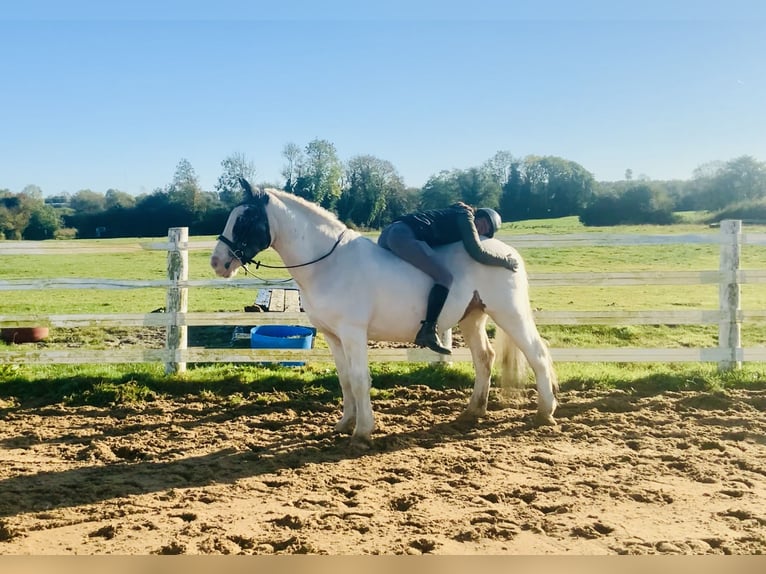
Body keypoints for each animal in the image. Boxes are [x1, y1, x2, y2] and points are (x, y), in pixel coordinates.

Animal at [213, 182, 560, 448]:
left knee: (538, 354)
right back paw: (473, 411)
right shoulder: (333, 336)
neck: (329, 263)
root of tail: (508, 254)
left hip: (509, 314)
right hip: (473, 318)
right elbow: (344, 379)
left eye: (245, 219)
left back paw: (545, 413)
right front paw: (344, 423)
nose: (218, 262)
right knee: (484, 359)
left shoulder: (353, 333)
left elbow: (359, 379)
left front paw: (362, 432)